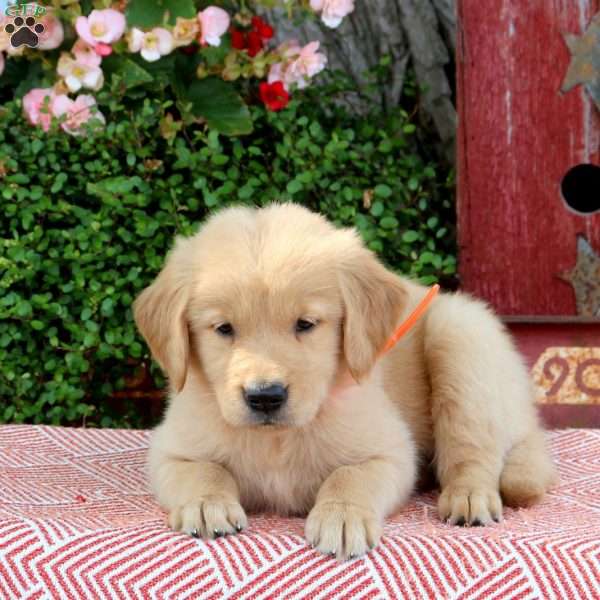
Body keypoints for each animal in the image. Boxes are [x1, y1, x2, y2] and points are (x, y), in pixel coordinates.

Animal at [134, 204, 556, 560]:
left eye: (305, 324)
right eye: (223, 329)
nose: (266, 397)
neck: (277, 439)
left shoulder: (392, 451)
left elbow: (349, 475)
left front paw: (341, 516)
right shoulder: (170, 450)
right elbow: (204, 469)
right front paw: (207, 504)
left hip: (459, 333)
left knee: (473, 449)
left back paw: (468, 496)